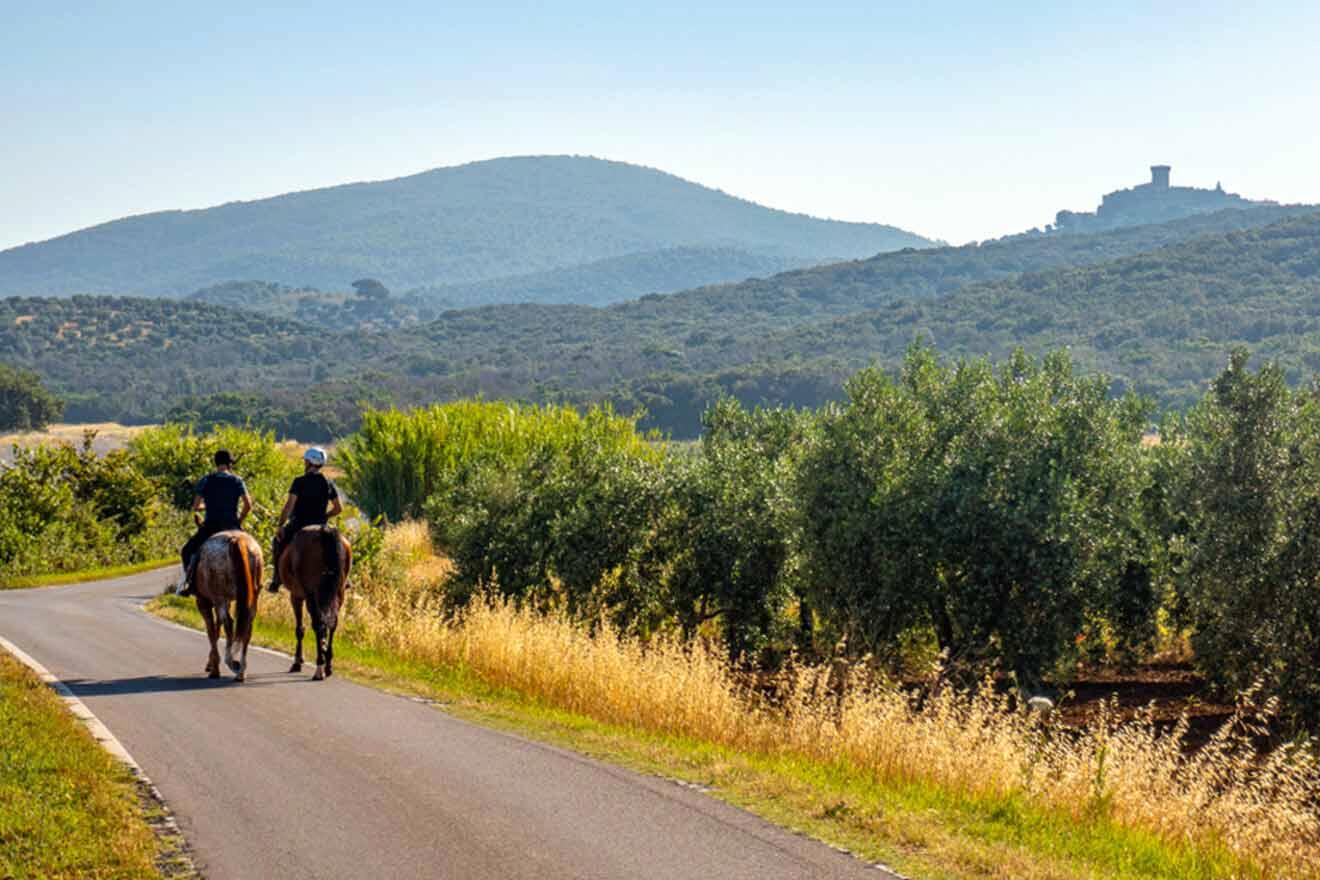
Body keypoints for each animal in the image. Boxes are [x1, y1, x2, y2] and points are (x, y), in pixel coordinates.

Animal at [192, 527, 261, 686]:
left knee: (229, 624)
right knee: (246, 628)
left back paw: (231, 663)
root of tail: (236, 540)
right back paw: (241, 672)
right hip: (251, 599)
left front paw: (214, 668)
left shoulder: (204, 603)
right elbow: (217, 629)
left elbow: (212, 631)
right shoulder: (225, 603)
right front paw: (211, 663)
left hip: (220, 598)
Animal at [277, 522, 351, 680]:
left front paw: (297, 662)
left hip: (310, 594)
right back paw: (328, 666)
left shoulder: (296, 596)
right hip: (339, 593)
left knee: (318, 624)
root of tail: (325, 530)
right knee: (332, 624)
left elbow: (300, 629)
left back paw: (319, 668)